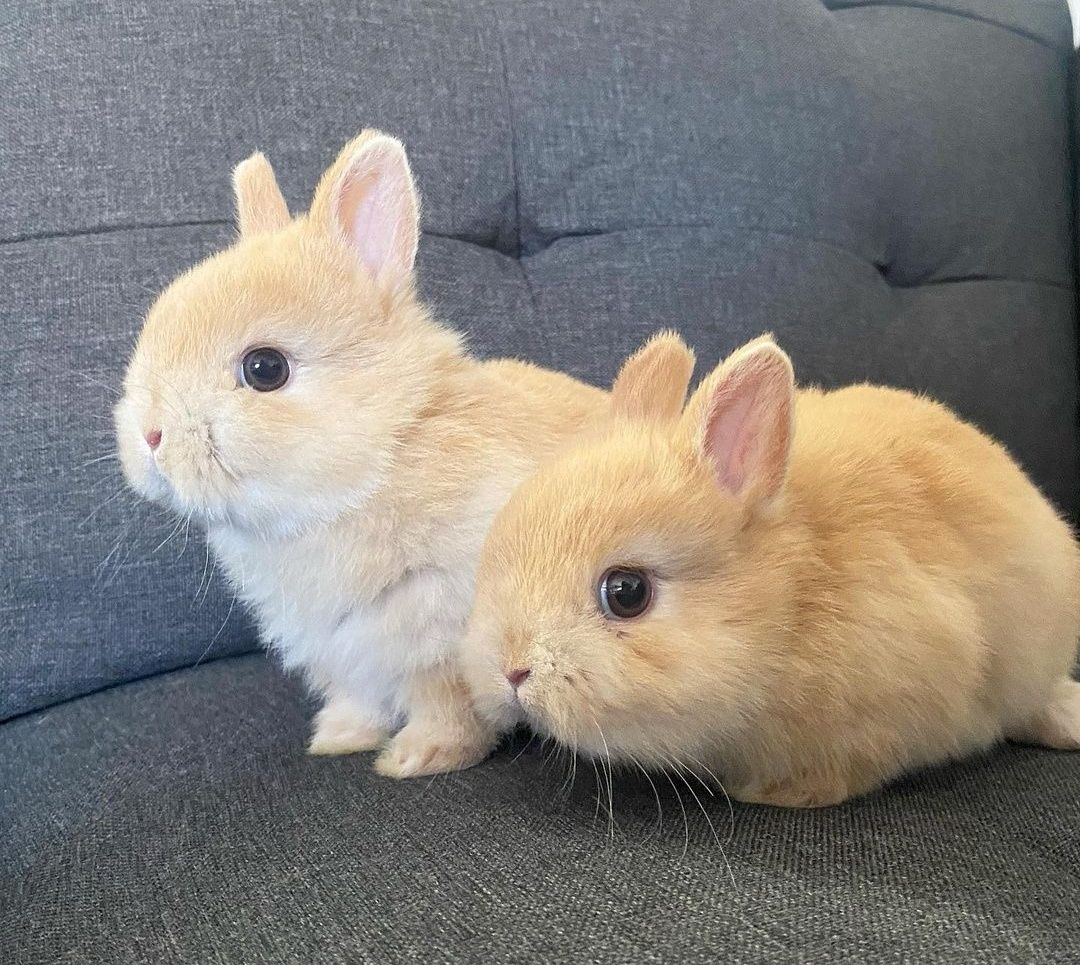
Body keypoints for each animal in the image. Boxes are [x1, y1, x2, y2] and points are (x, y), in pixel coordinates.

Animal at [118, 132, 609, 777]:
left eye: (265, 368)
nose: (150, 435)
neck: (372, 470)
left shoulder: (440, 636)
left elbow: (448, 703)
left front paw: (418, 758)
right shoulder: (338, 648)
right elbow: (359, 698)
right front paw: (337, 738)